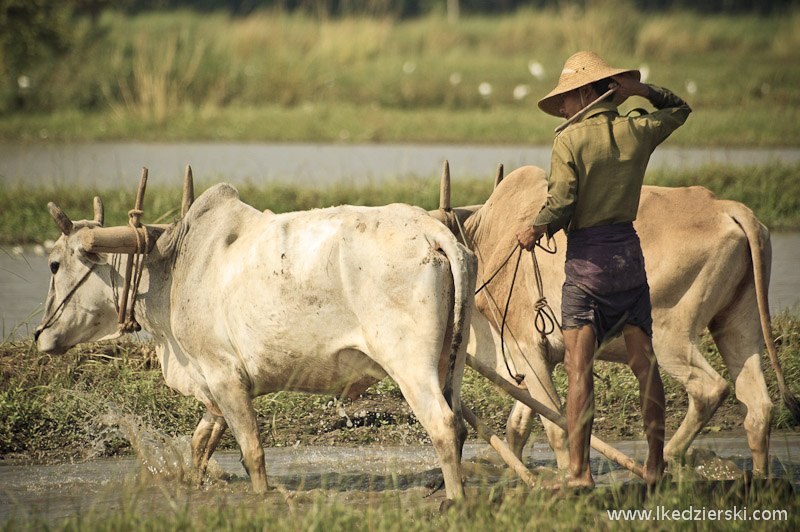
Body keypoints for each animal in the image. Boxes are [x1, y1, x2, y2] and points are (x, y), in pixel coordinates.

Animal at [36, 183, 476, 498]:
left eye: (55, 265)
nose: (41, 336)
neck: (174, 265)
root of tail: (430, 229)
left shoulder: (224, 375)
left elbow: (253, 453)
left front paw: (263, 497)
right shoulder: (212, 381)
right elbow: (200, 444)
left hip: (409, 365)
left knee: (442, 425)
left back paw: (453, 501)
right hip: (450, 363)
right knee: (460, 426)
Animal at [438, 165, 800, 474]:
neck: (485, 243)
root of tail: (726, 207)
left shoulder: (526, 344)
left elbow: (554, 426)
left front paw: (567, 478)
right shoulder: (534, 356)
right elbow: (520, 424)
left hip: (671, 338)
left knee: (709, 389)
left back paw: (667, 458)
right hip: (738, 323)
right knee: (758, 407)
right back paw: (760, 480)